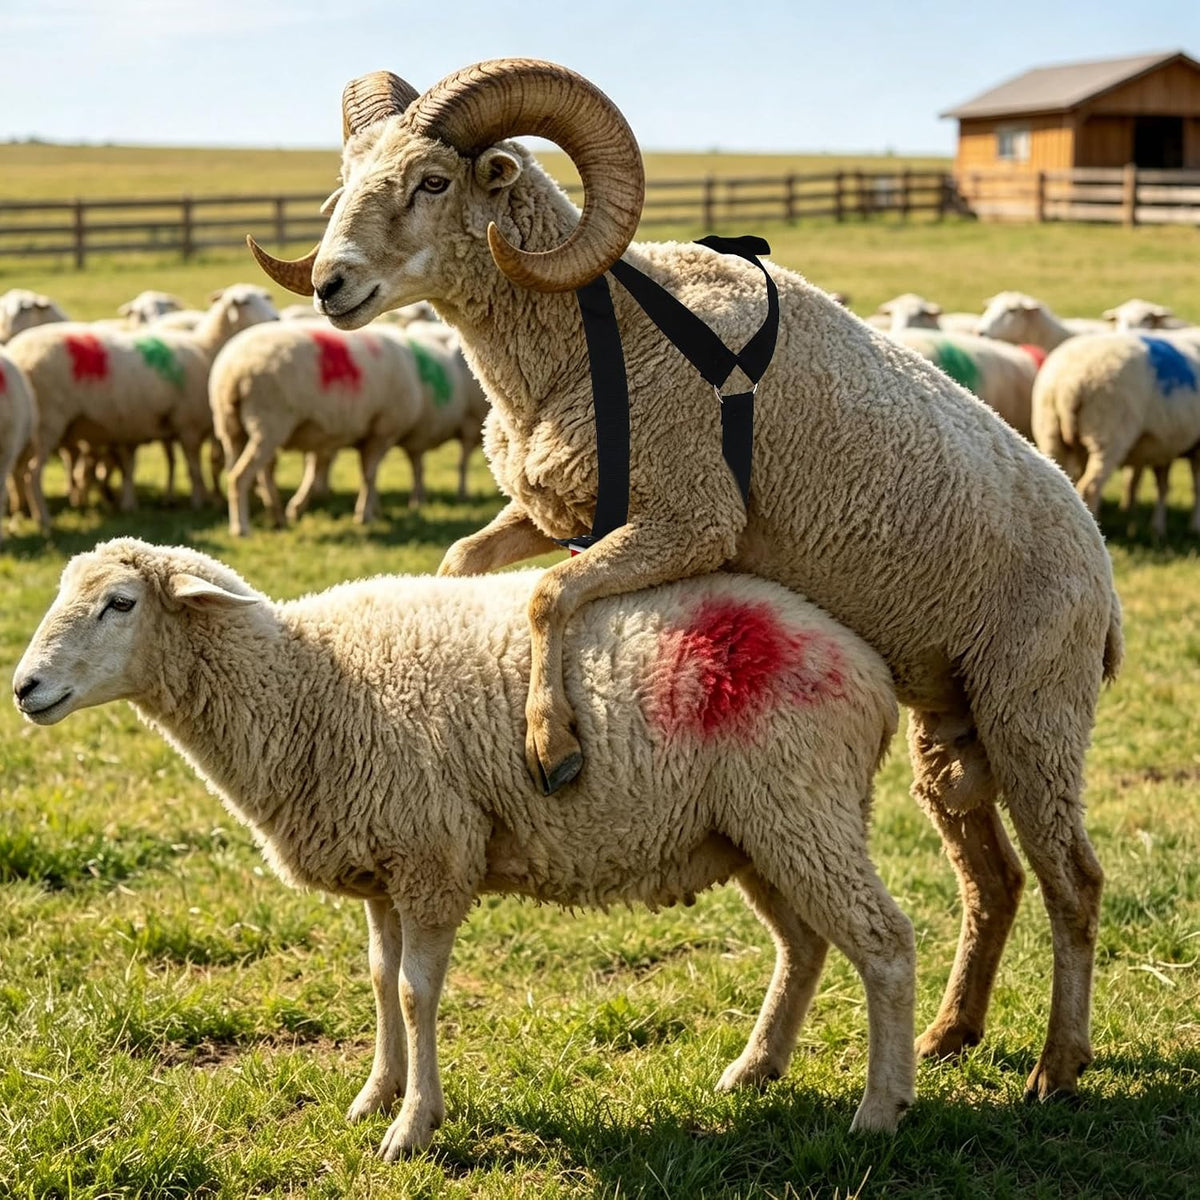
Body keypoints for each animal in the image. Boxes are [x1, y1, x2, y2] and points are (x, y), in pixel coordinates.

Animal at [6, 287, 278, 517]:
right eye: (242, 302)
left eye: (267, 296)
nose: (275, 319)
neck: (206, 349)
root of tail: (17, 351)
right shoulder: (187, 424)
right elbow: (193, 467)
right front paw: (199, 501)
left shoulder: (144, 427)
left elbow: (139, 466)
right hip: (48, 422)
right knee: (32, 473)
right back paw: (43, 518)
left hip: (29, 429)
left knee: (18, 470)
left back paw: (22, 510)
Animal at [14, 537, 915, 1154]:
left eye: (120, 603)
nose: (24, 688)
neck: (307, 683)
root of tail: (869, 666)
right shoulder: (382, 863)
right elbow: (379, 981)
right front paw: (376, 1094)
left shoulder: (432, 854)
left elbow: (417, 994)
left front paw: (413, 1126)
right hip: (756, 828)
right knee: (804, 944)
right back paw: (755, 1069)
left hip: (801, 803)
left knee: (884, 942)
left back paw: (882, 1108)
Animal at [209, 322, 425, 533]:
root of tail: (234, 371)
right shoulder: (381, 432)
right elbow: (368, 476)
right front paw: (364, 515)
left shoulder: (333, 436)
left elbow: (320, 467)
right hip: (269, 422)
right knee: (239, 477)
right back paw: (241, 527)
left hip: (230, 425)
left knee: (243, 469)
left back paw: (276, 516)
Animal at [1032, 331, 1200, 539]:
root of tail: (1069, 384)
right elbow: (1195, 487)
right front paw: (1194, 526)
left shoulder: (1163, 447)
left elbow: (1161, 486)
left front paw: (1156, 528)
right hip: (1108, 432)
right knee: (1091, 487)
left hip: (1051, 430)